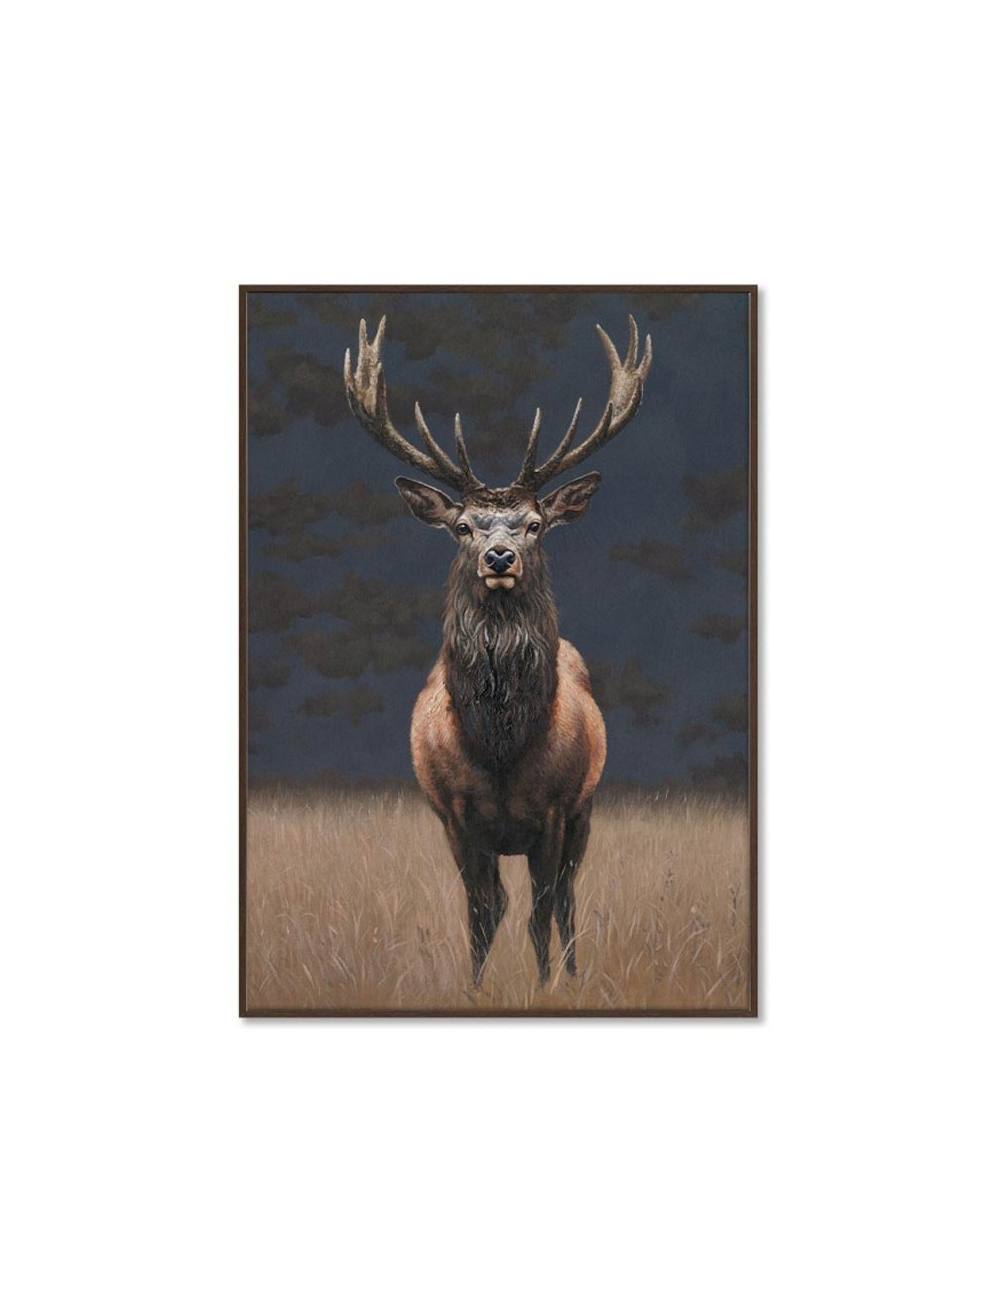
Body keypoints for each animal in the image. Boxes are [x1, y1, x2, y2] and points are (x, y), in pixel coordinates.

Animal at [343, 314, 652, 987]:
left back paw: (574, 972)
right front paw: (476, 989)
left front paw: (545, 985)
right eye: (463, 526)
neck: (502, 746)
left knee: (564, 900)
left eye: (535, 524)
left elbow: (541, 910)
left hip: (587, 811)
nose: (500, 556)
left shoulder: (558, 809)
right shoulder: (456, 815)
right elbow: (482, 912)